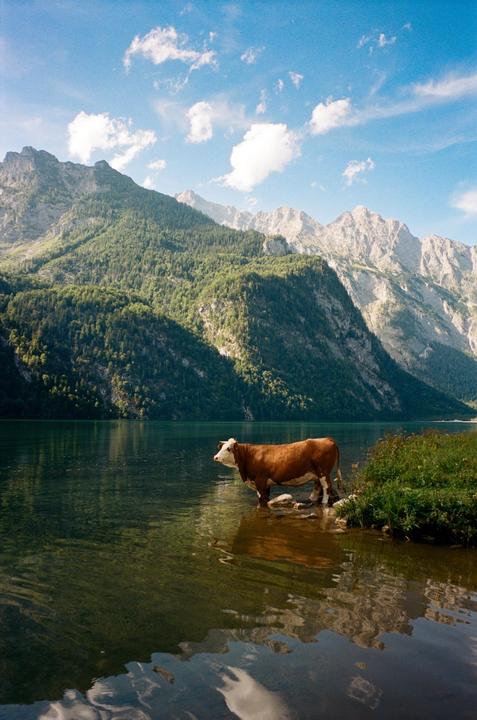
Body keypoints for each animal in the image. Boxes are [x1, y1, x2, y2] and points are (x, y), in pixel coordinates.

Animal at [213, 437, 343, 507]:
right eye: (221, 447)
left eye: (228, 449)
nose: (215, 457)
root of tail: (327, 438)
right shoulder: (264, 483)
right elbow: (262, 497)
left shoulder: (260, 480)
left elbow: (264, 498)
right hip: (317, 474)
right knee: (318, 488)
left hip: (323, 472)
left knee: (326, 487)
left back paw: (324, 502)